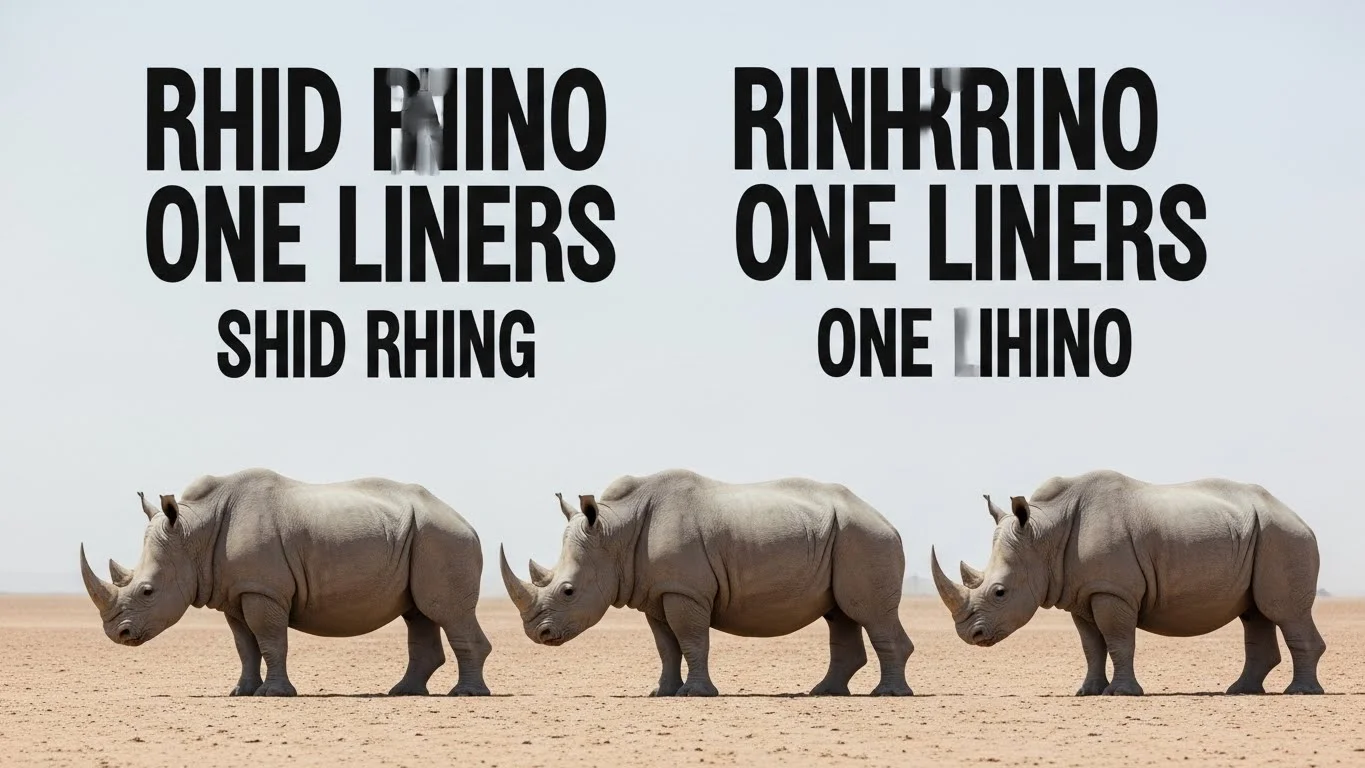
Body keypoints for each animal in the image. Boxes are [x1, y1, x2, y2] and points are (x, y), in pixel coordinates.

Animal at [78, 468, 492, 697]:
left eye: (147, 591)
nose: (118, 634)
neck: (194, 532)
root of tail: (467, 521)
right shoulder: (234, 592)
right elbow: (245, 646)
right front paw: (240, 692)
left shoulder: (263, 590)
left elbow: (270, 639)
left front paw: (273, 694)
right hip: (423, 537)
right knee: (418, 613)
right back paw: (403, 692)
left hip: (443, 538)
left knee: (446, 611)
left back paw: (464, 694)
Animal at [499, 469, 915, 697]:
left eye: (568, 591)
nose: (538, 634)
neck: (615, 530)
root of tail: (888, 520)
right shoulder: (656, 592)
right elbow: (666, 647)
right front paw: (661, 692)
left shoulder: (686, 591)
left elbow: (692, 639)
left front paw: (694, 693)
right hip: (845, 537)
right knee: (840, 614)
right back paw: (824, 693)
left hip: (865, 538)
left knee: (868, 613)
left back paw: (886, 694)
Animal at [930, 470, 1326, 696]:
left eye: (1000, 592)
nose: (969, 636)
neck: (1045, 533)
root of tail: (1300, 518)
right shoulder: (1081, 593)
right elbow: (1091, 646)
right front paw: (1087, 692)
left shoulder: (1112, 590)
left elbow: (1119, 640)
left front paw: (1121, 694)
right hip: (1261, 535)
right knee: (1255, 613)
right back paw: (1241, 691)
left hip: (1283, 537)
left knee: (1284, 611)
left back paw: (1300, 693)